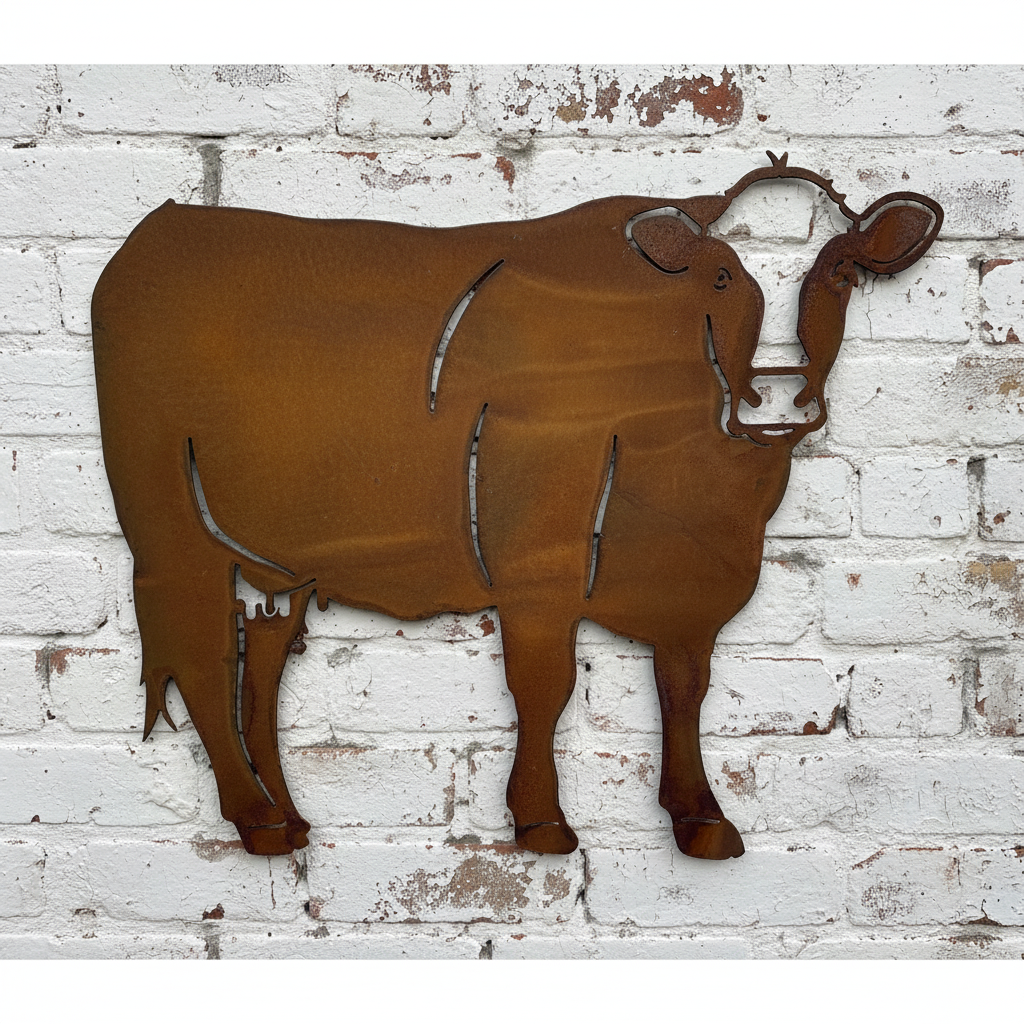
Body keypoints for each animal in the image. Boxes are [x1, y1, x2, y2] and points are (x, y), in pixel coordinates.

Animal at [91, 152, 943, 860]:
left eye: (842, 272)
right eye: (721, 277)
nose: (778, 397)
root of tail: (164, 224)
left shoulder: (687, 575)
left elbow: (683, 686)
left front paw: (700, 817)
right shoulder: (537, 562)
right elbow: (546, 685)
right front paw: (540, 820)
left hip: (279, 561)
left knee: (260, 667)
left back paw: (287, 820)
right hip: (168, 534)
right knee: (205, 664)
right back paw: (259, 818)